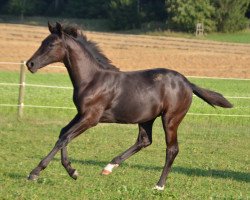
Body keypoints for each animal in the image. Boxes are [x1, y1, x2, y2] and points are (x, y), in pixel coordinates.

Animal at [25, 22, 232, 190]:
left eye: (51, 45)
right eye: (42, 42)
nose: (30, 64)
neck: (92, 79)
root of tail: (187, 83)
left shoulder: (91, 118)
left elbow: (64, 138)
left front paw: (35, 172)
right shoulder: (81, 114)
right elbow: (63, 134)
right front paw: (72, 171)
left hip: (171, 119)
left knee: (172, 149)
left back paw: (159, 185)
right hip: (147, 118)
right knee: (144, 140)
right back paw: (109, 167)